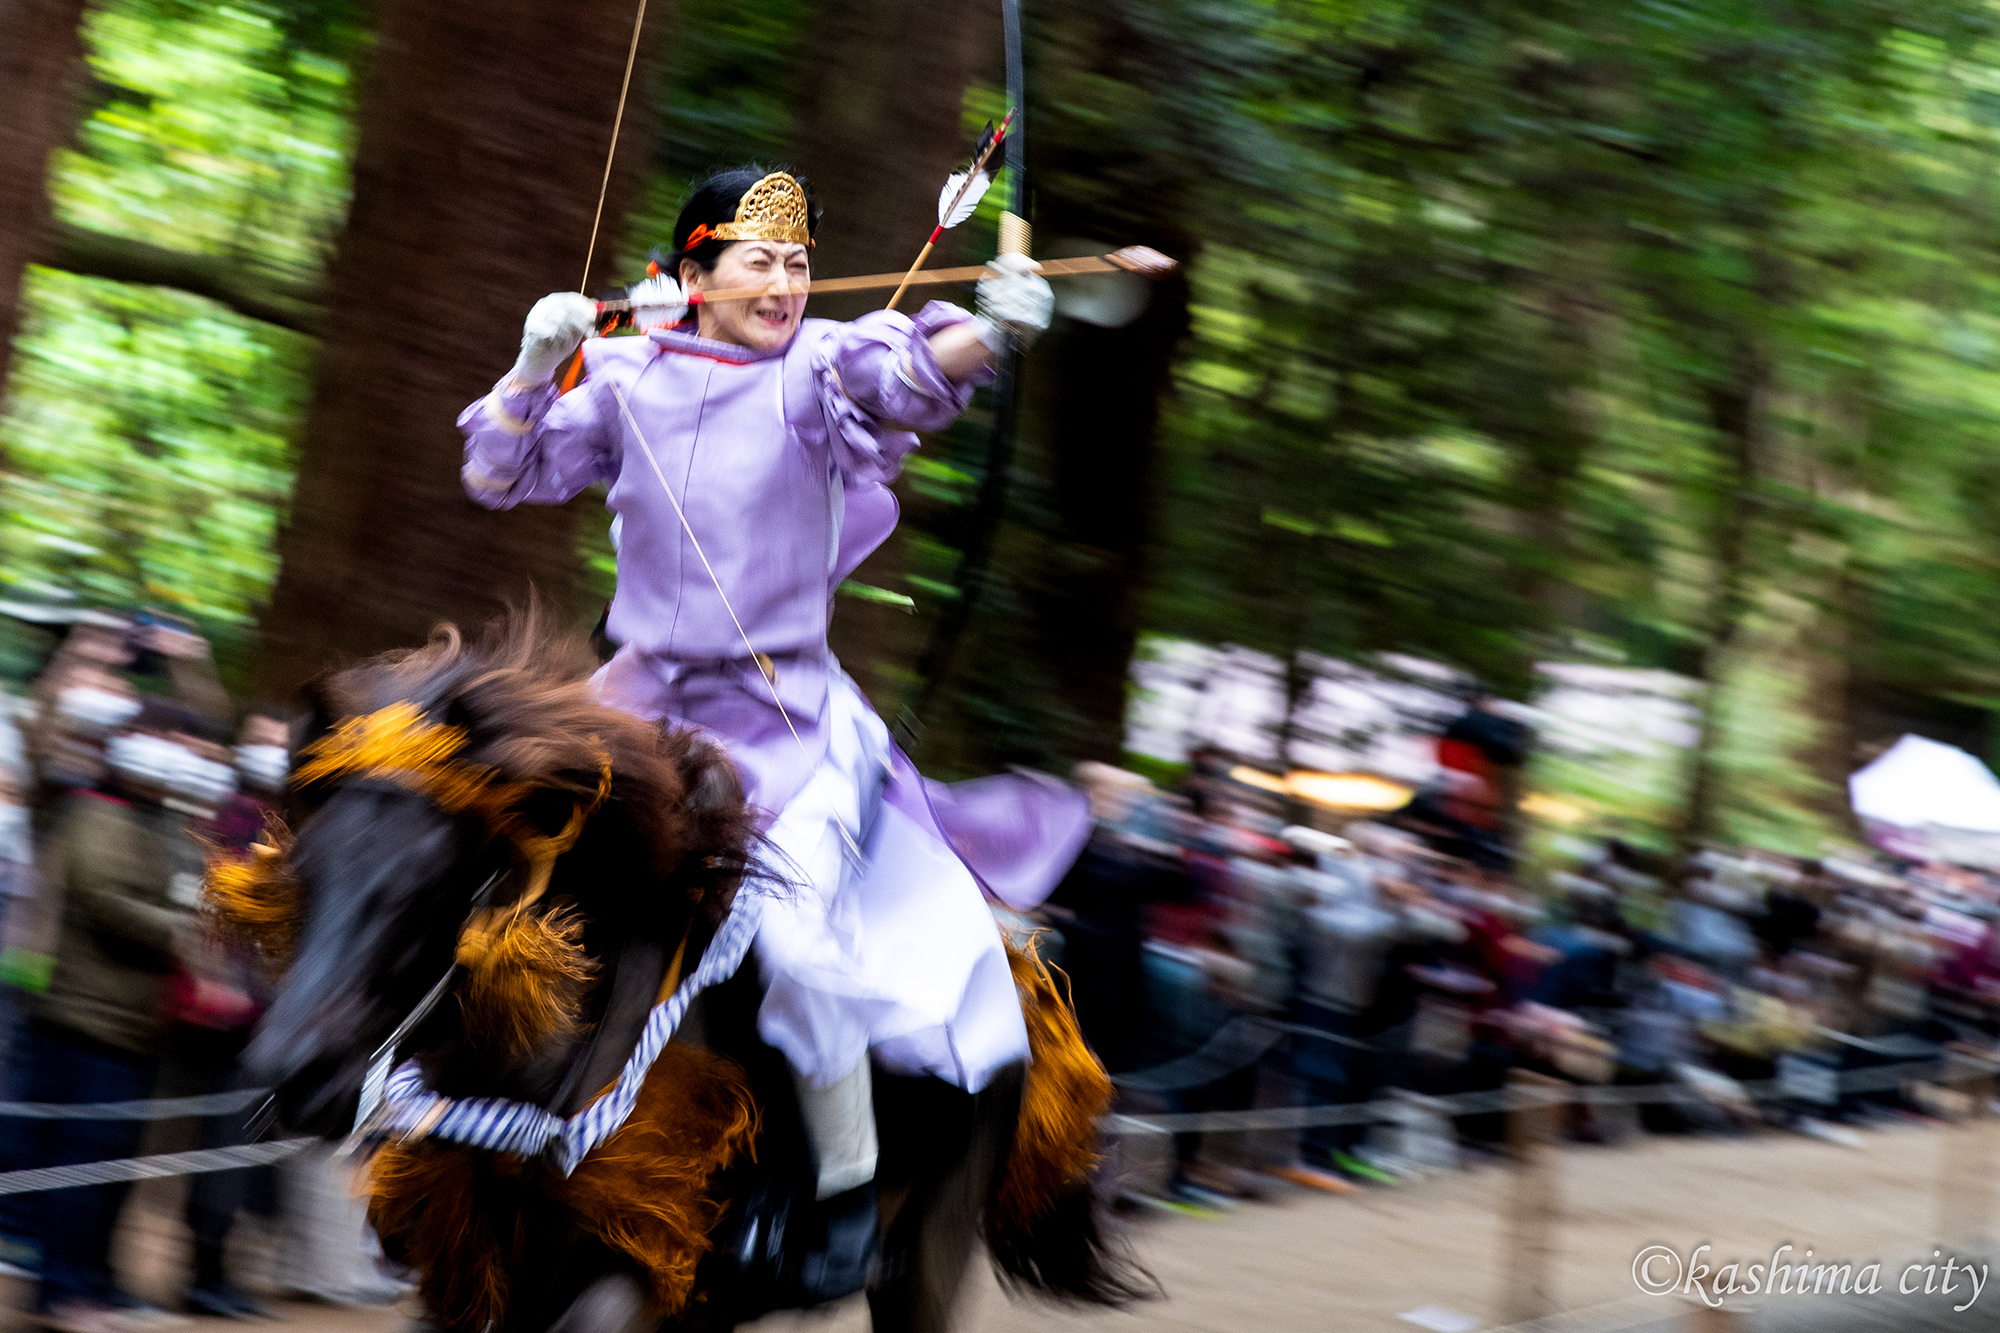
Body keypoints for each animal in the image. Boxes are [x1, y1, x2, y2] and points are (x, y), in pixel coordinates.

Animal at [211, 616, 1152, 1328]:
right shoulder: (481, 1273)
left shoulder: (637, 1269)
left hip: (926, 1250)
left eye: (430, 885)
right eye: (303, 870)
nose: (290, 1071)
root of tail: (1021, 965)